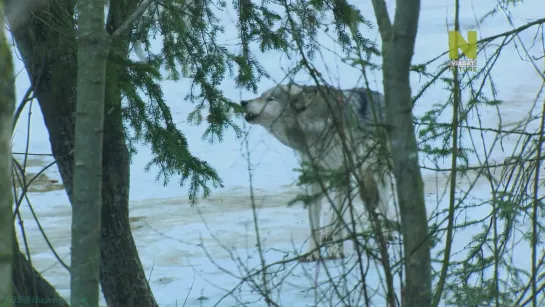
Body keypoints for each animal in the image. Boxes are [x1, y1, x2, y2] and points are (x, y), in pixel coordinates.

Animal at [241, 82, 396, 262]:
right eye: (260, 95)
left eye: (270, 99)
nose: (243, 102)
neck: (314, 130)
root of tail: (379, 96)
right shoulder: (313, 179)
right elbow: (314, 223)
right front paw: (312, 253)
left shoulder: (341, 174)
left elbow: (339, 217)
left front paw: (336, 250)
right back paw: (329, 234)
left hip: (378, 170)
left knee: (382, 201)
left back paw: (386, 232)